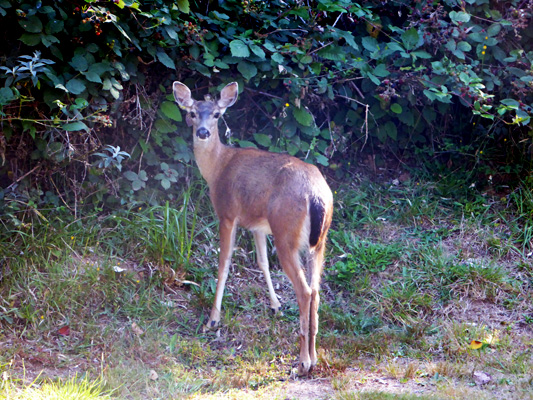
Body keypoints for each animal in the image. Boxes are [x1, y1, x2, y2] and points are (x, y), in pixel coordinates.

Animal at [172, 81, 332, 376]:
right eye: (192, 113)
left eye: (216, 115)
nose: (202, 132)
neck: (217, 168)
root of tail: (316, 195)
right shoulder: (258, 225)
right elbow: (262, 262)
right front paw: (275, 305)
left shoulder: (227, 214)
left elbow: (224, 263)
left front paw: (213, 320)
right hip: (320, 240)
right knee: (316, 290)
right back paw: (314, 356)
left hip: (286, 232)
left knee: (305, 291)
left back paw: (303, 361)